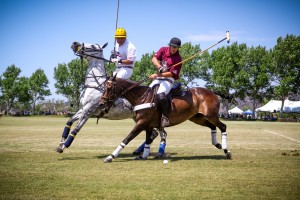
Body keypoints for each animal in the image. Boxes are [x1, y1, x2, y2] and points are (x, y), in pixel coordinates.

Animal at [99, 75, 232, 162]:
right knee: (213, 126)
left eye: (109, 87)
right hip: (197, 118)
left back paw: (226, 151)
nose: (101, 104)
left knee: (223, 126)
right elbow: (148, 141)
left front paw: (110, 156)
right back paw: (218, 145)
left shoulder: (141, 123)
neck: (141, 97)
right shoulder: (148, 125)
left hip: (211, 115)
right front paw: (143, 156)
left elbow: (127, 139)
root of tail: (212, 92)